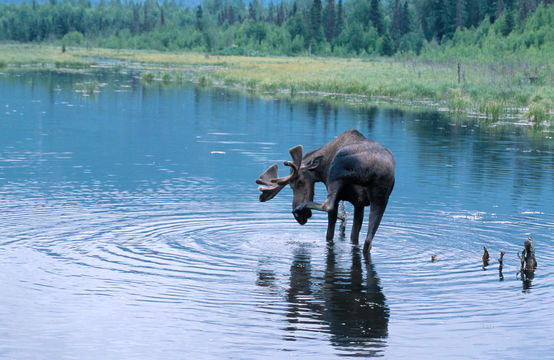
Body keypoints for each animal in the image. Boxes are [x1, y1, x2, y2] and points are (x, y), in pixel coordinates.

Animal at [256, 128, 394, 255]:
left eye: (299, 181)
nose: (299, 217)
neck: (321, 167)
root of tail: (377, 168)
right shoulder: (359, 204)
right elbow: (354, 236)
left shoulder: (342, 197)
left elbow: (329, 234)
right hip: (381, 198)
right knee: (368, 240)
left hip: (336, 171)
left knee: (328, 205)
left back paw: (300, 207)